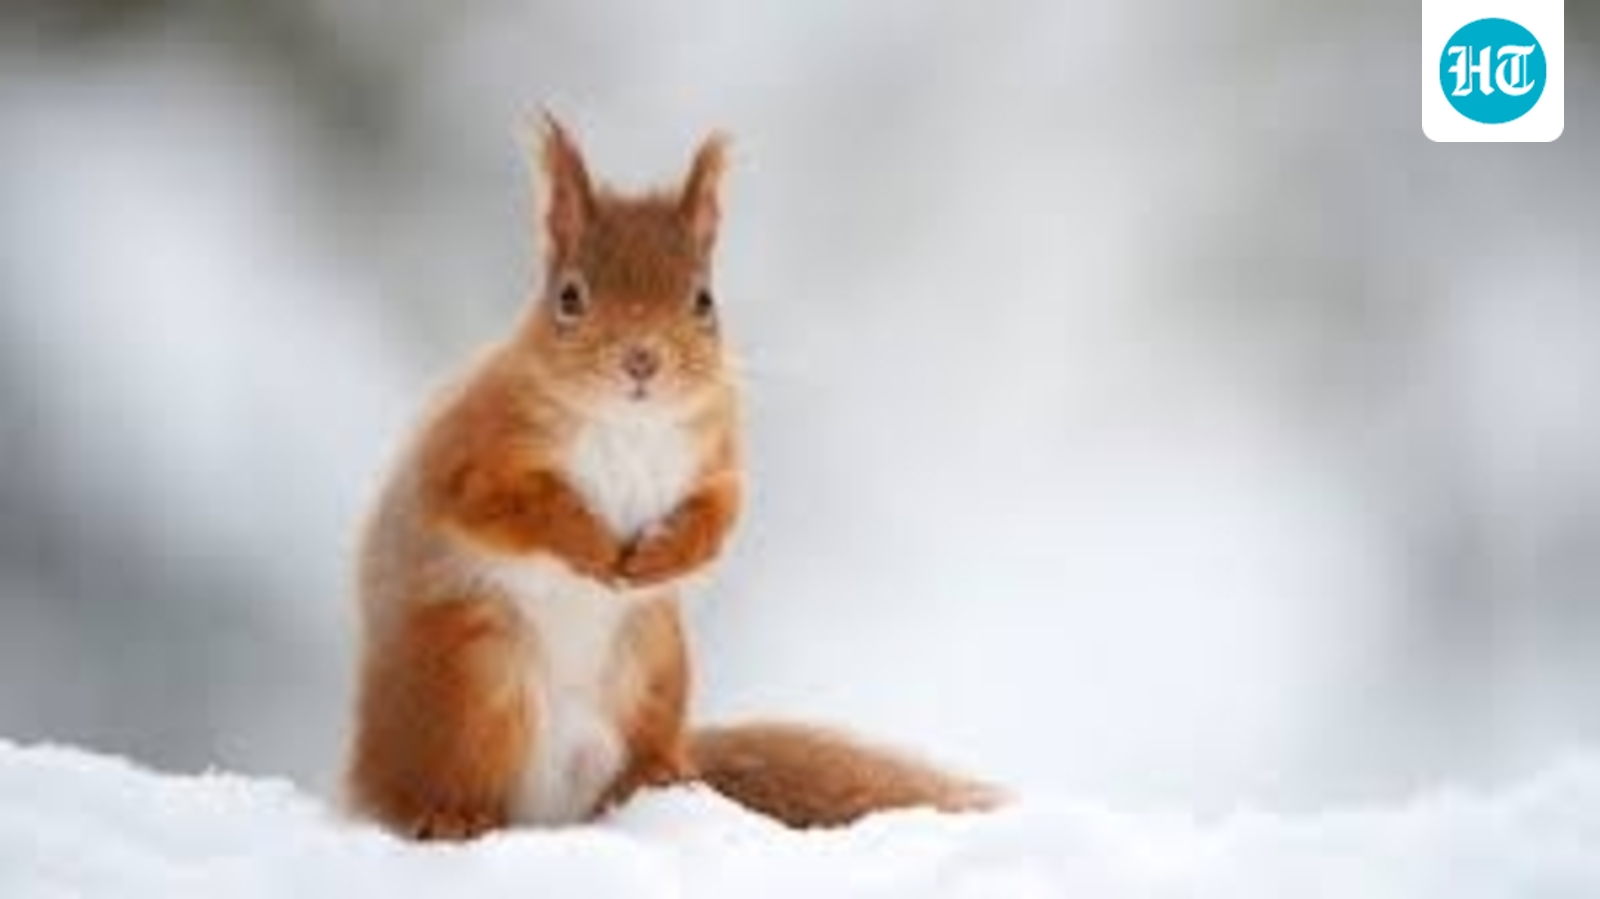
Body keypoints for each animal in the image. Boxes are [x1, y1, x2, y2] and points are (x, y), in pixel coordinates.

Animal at [345, 117, 1000, 839]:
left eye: (704, 300)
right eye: (569, 297)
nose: (642, 359)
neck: (630, 425)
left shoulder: (717, 458)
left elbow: (718, 516)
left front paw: (665, 553)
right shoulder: (470, 455)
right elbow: (505, 505)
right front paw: (592, 543)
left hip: (654, 664)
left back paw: (665, 779)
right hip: (469, 674)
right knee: (427, 783)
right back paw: (449, 813)